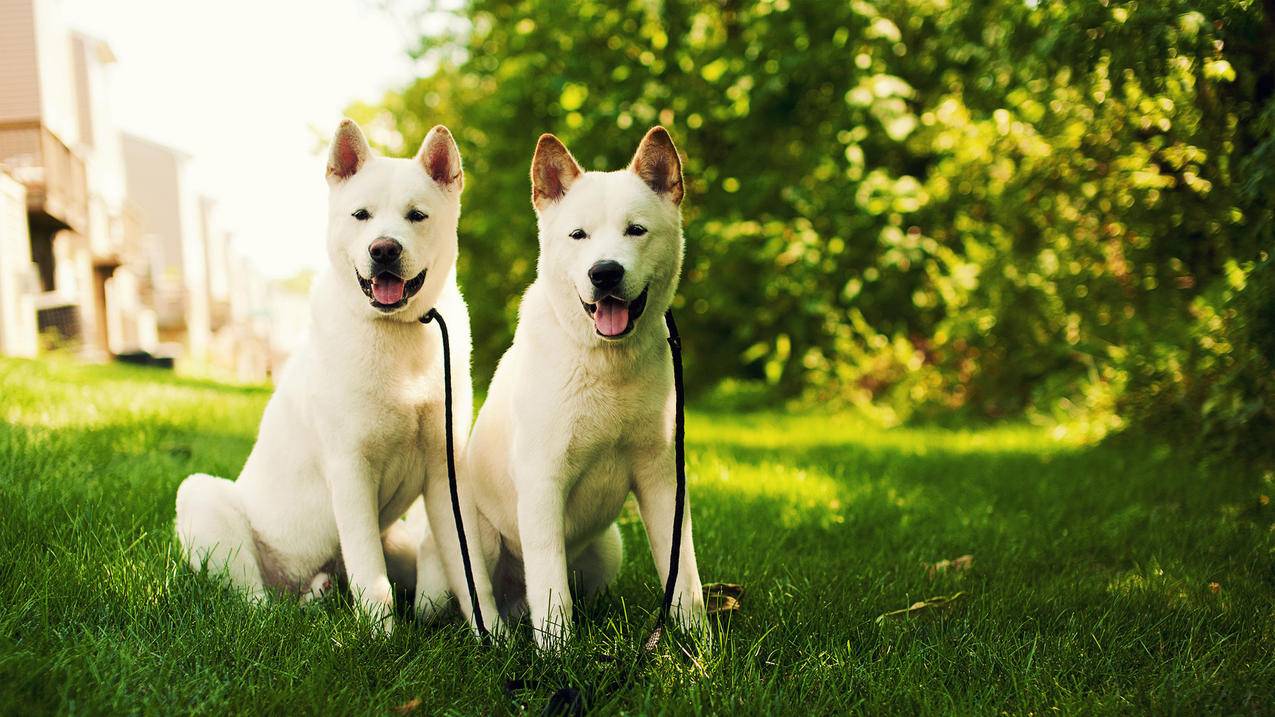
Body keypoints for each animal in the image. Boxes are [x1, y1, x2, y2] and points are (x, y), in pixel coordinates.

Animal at [177, 119, 494, 632]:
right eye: (360, 215)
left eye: (417, 216)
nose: (383, 249)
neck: (396, 332)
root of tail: (293, 584)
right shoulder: (350, 470)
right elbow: (372, 578)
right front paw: (380, 641)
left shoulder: (444, 472)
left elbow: (472, 577)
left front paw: (499, 638)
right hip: (202, 499)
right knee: (252, 599)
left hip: (395, 539)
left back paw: (322, 593)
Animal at [456, 125, 703, 645]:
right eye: (578, 235)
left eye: (636, 230)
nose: (604, 273)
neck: (607, 365)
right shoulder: (542, 480)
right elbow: (550, 590)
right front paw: (559, 654)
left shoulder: (663, 477)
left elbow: (683, 575)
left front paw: (698, 645)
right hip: (475, 542)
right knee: (480, 600)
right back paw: (498, 640)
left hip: (609, 547)